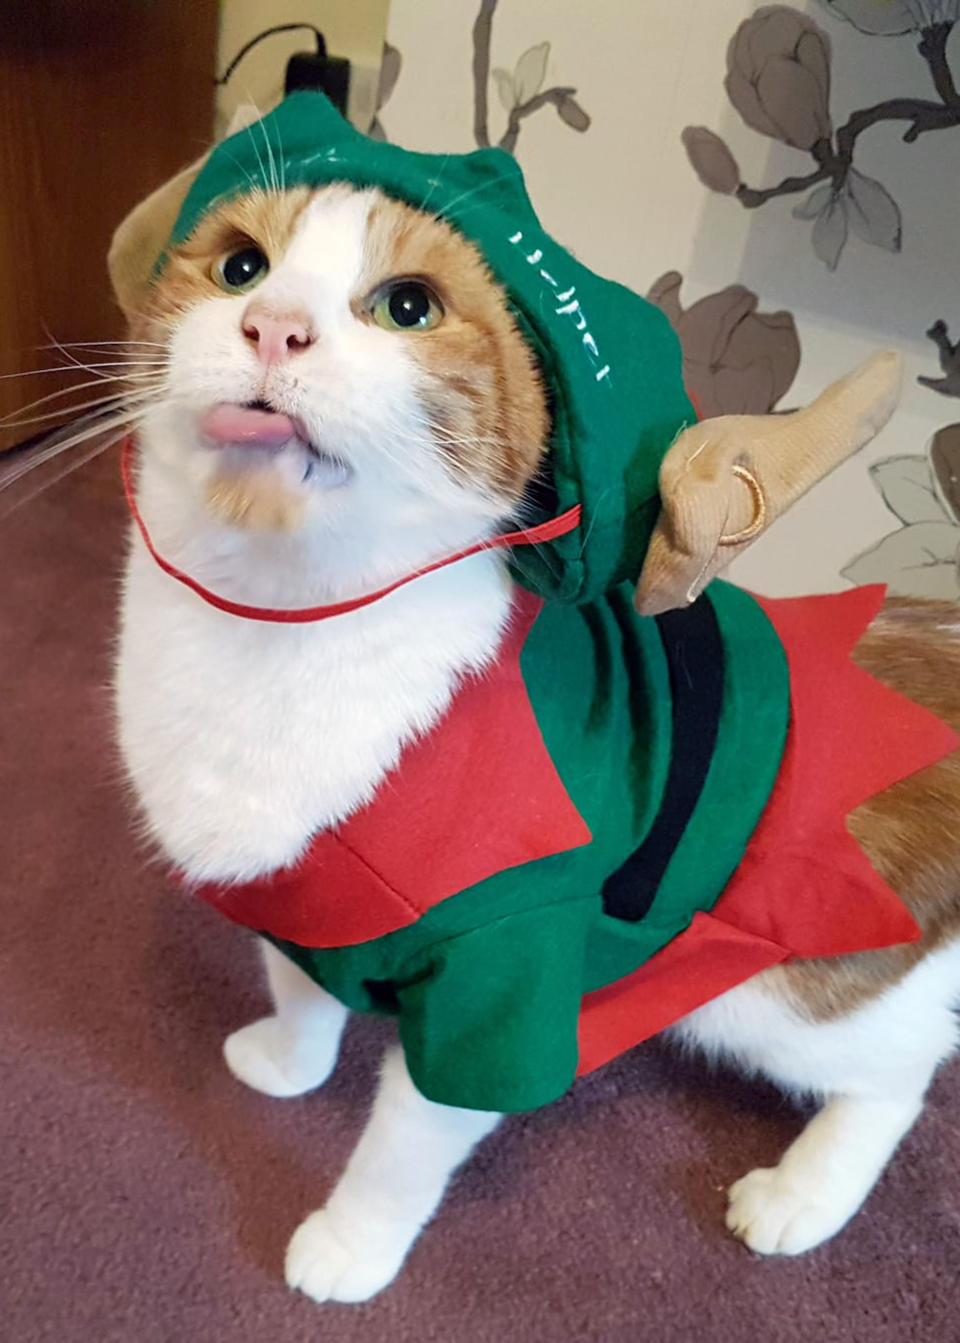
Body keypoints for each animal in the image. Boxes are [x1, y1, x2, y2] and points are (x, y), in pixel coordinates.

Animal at [114, 173, 960, 1305]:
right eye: (240, 265)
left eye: (409, 305)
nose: (274, 323)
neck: (269, 624)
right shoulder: (310, 901)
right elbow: (301, 992)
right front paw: (289, 1062)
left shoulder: (504, 971)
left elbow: (402, 1149)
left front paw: (350, 1242)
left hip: (786, 990)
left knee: (901, 1070)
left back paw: (802, 1193)